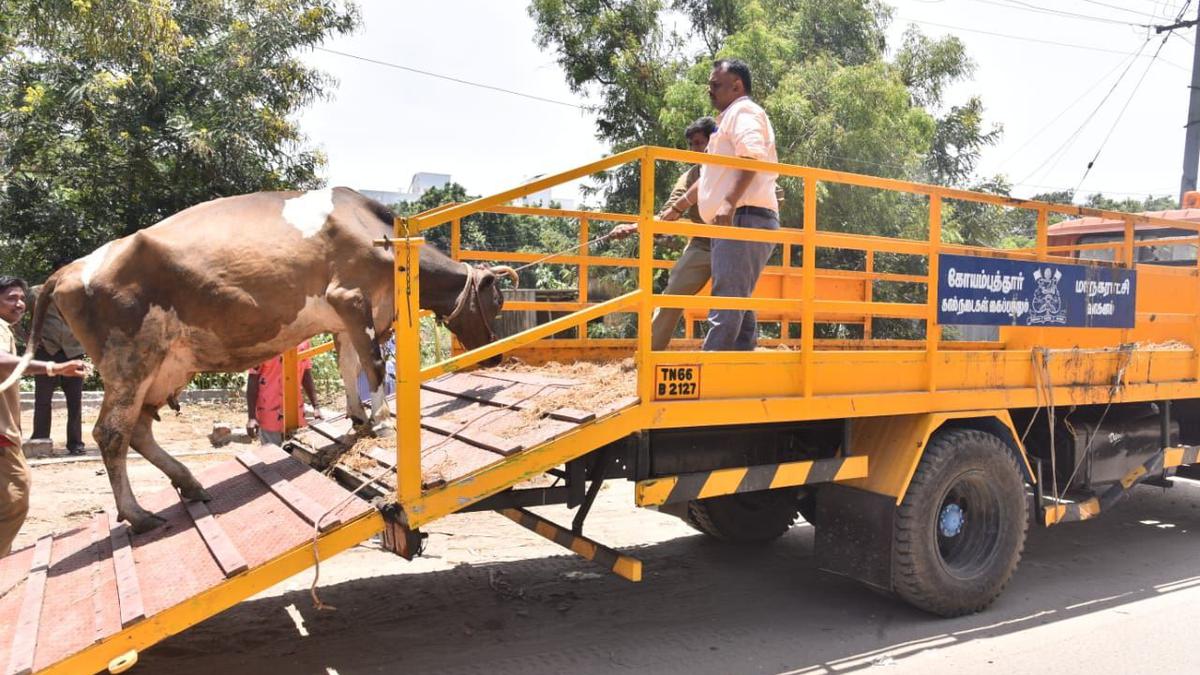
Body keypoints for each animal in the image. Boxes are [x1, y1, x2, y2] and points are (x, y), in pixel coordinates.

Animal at [0, 184, 511, 530]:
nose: (491, 355)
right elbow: (371, 364)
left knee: (138, 429)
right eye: (498, 301)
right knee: (110, 432)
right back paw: (138, 514)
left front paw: (358, 418)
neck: (377, 231)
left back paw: (189, 483)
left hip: (165, 366)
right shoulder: (351, 299)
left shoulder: (345, 317)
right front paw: (383, 421)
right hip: (131, 360)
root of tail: (71, 268)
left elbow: (350, 367)